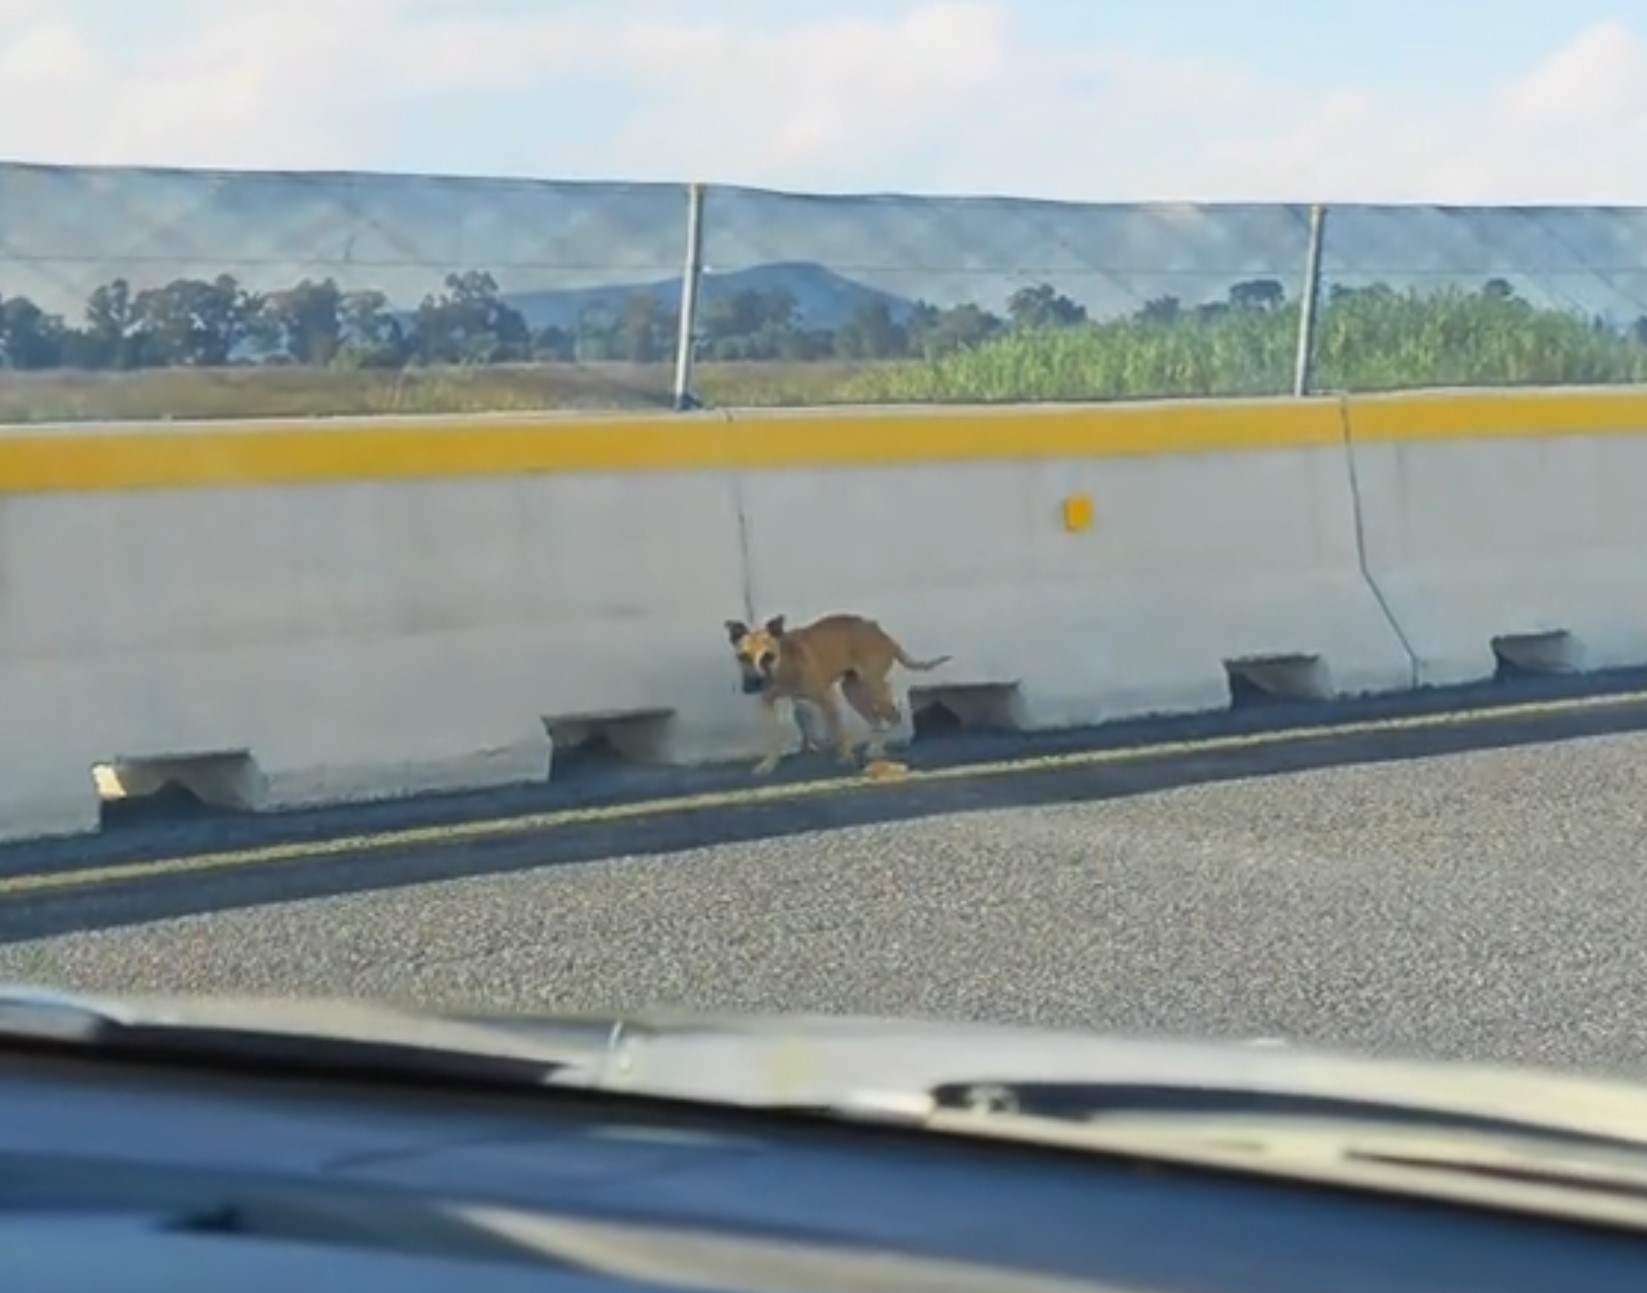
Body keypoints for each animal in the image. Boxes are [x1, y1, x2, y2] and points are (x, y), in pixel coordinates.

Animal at [721, 609, 955, 770]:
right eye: (742, 656)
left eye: (768, 656)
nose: (752, 685)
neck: (783, 666)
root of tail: (881, 633)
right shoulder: (767, 704)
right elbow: (774, 737)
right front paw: (769, 764)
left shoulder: (827, 698)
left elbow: (839, 733)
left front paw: (845, 758)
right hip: (852, 691)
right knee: (876, 721)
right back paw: (874, 748)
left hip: (874, 688)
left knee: (893, 715)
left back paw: (882, 747)